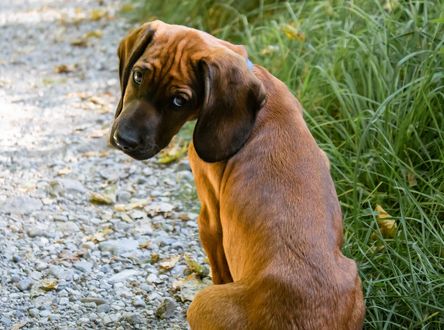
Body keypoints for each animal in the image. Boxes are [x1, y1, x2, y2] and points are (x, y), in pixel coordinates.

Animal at [110, 20, 364, 328]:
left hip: (202, 301)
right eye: (137, 75)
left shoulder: (209, 219)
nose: (125, 140)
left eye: (179, 101)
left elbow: (219, 268)